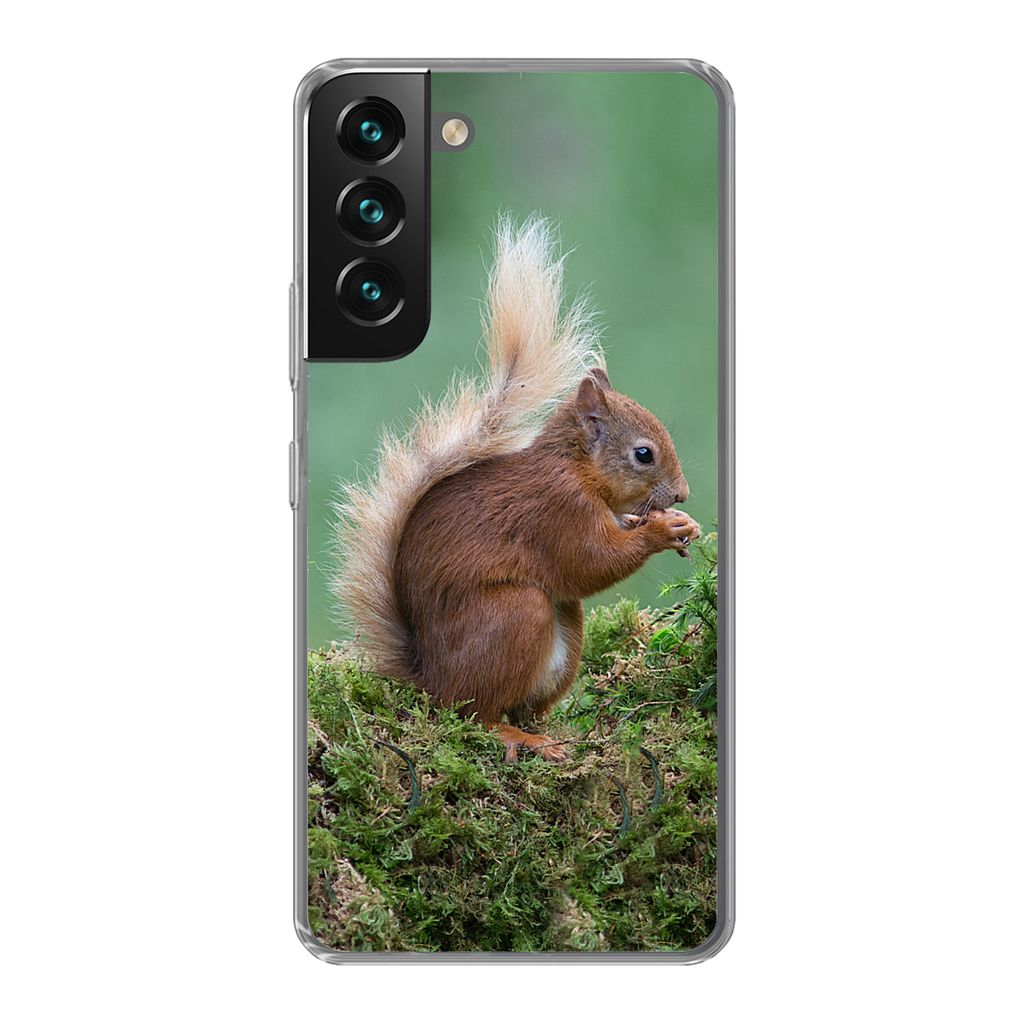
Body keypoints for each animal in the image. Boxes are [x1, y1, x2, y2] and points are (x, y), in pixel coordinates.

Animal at [334, 218, 700, 762]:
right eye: (643, 454)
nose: (682, 495)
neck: (575, 468)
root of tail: (429, 680)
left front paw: (678, 525)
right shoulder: (557, 509)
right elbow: (590, 562)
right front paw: (661, 530)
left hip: (564, 633)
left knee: (522, 703)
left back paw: (549, 734)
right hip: (514, 614)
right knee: (475, 713)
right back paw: (517, 738)